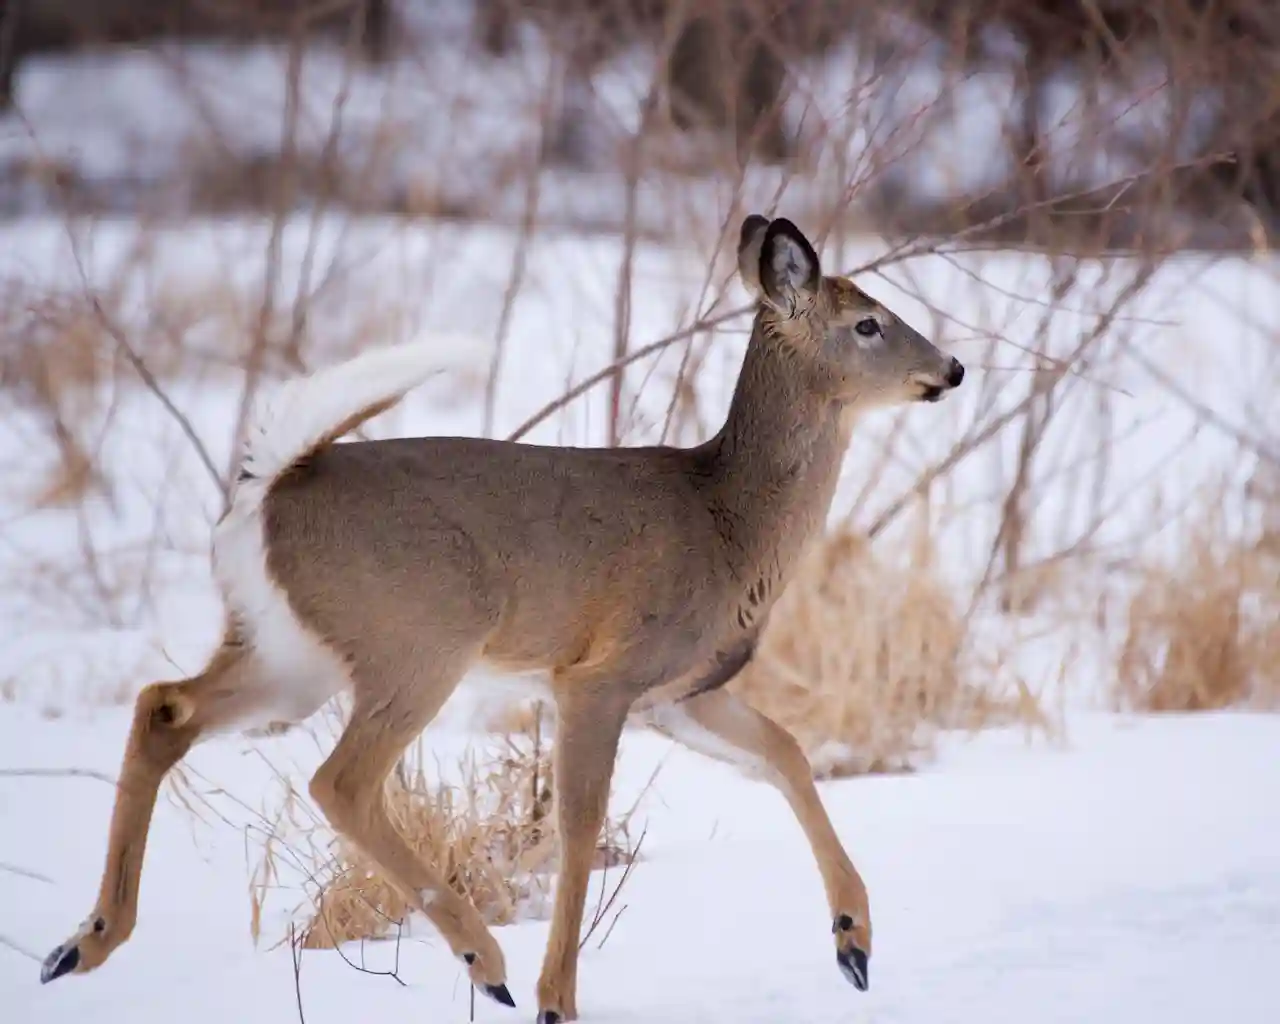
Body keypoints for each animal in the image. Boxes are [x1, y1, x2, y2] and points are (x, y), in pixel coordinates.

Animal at [37, 212, 962, 1018]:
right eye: (869, 323)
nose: (952, 368)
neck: (729, 521)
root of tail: (269, 487)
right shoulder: (601, 673)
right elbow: (581, 823)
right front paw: (559, 1001)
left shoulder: (678, 692)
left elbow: (785, 754)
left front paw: (854, 943)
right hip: (420, 637)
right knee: (339, 779)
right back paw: (489, 964)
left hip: (287, 654)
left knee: (165, 706)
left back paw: (81, 943)